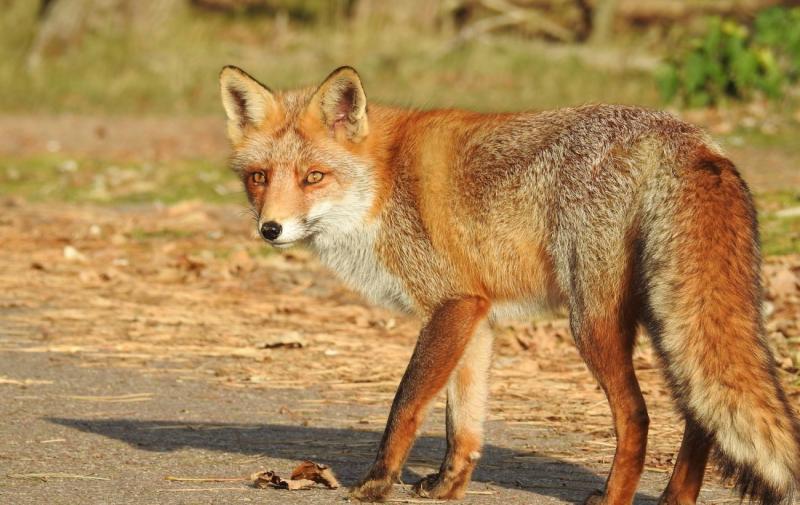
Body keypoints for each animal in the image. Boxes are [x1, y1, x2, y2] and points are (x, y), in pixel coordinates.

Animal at [217, 67, 800, 504]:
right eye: (259, 178)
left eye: (314, 177)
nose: (270, 229)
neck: (382, 183)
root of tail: (687, 136)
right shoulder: (475, 315)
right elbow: (463, 422)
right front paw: (447, 486)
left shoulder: (451, 305)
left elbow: (406, 404)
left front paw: (376, 483)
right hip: (667, 318)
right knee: (700, 415)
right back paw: (675, 498)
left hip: (593, 321)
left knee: (638, 415)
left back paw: (614, 497)